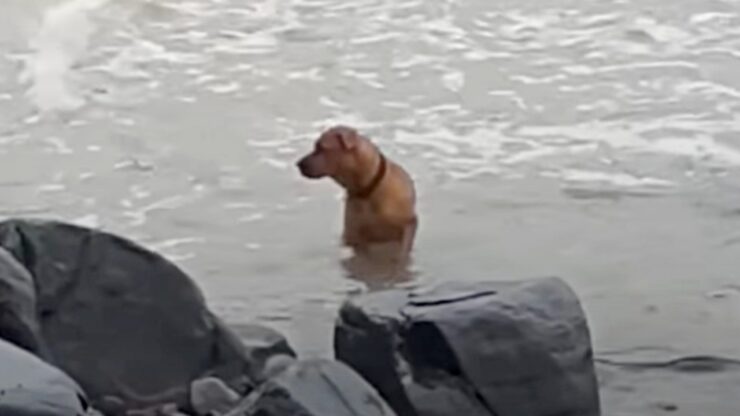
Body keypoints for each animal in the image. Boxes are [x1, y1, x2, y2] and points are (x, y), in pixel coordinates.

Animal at [298, 125, 420, 258]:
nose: (298, 164)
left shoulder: (408, 224)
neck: (367, 191)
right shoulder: (354, 233)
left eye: (321, 148)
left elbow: (403, 249)